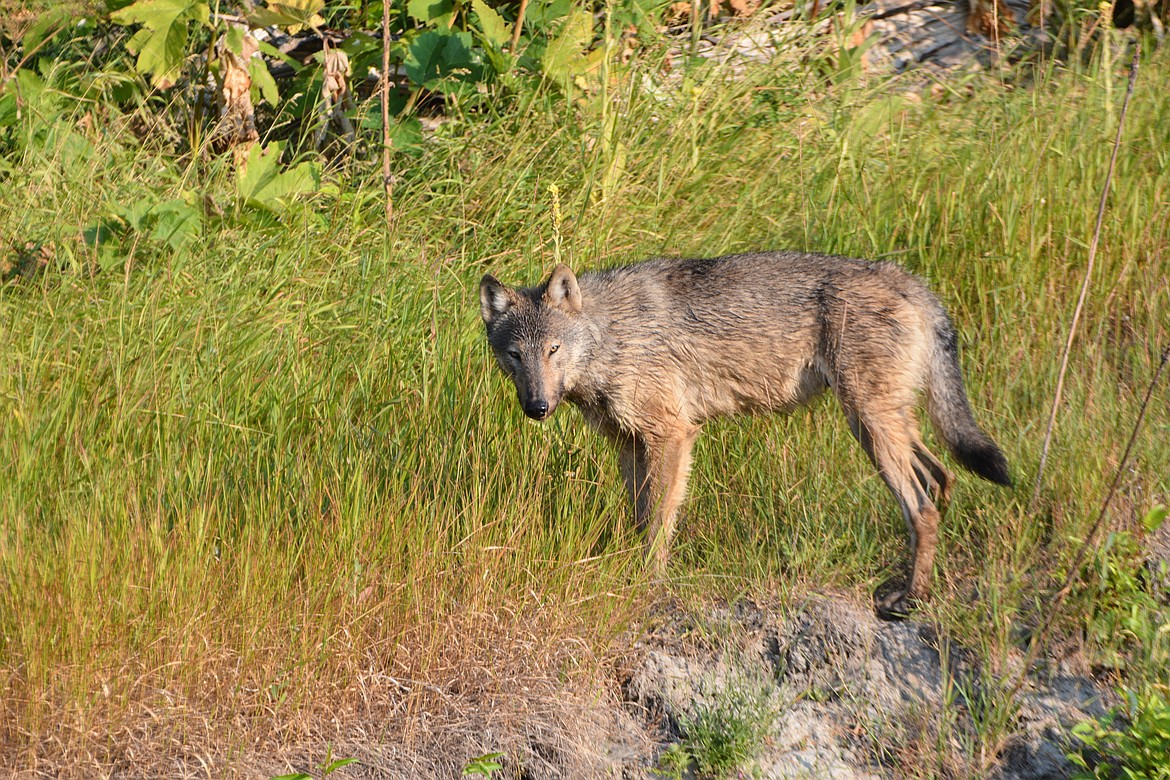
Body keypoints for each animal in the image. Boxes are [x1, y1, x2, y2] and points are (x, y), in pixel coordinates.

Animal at [479, 251, 1010, 617]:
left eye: (553, 350)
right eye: (515, 356)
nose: (536, 408)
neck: (609, 335)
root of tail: (910, 281)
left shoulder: (672, 434)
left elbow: (658, 524)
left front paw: (649, 586)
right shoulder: (629, 444)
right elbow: (639, 519)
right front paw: (629, 575)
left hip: (870, 426)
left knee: (922, 507)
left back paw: (911, 599)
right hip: (879, 426)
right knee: (940, 480)